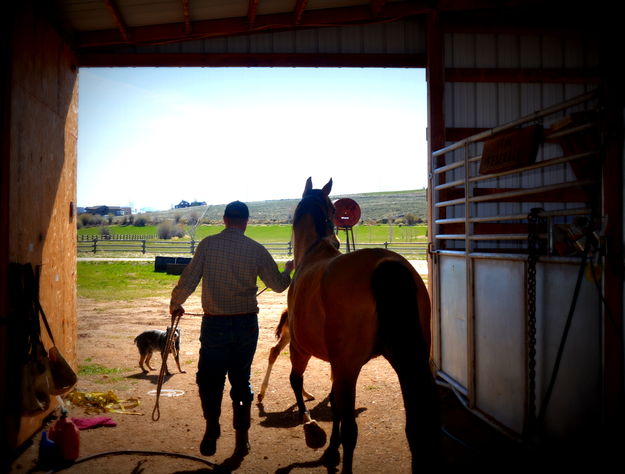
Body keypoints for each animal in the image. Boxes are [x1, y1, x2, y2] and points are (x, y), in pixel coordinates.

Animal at [288, 177, 438, 470]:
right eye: (334, 210)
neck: (313, 252)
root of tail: (387, 264)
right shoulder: (336, 364)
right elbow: (334, 403)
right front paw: (329, 446)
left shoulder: (301, 349)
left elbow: (297, 382)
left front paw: (312, 427)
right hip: (408, 361)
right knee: (415, 427)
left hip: (348, 367)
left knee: (351, 431)